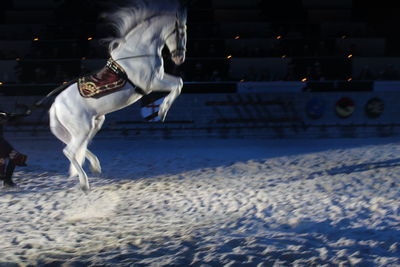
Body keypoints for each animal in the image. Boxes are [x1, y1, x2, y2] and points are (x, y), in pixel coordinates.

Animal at [48, 0, 188, 193]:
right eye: (181, 32)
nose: (179, 58)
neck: (138, 52)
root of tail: (55, 105)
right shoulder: (151, 83)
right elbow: (177, 86)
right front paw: (162, 111)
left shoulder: (159, 77)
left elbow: (179, 82)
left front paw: (162, 111)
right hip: (82, 128)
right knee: (70, 151)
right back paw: (84, 183)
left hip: (93, 124)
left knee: (79, 147)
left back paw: (95, 167)